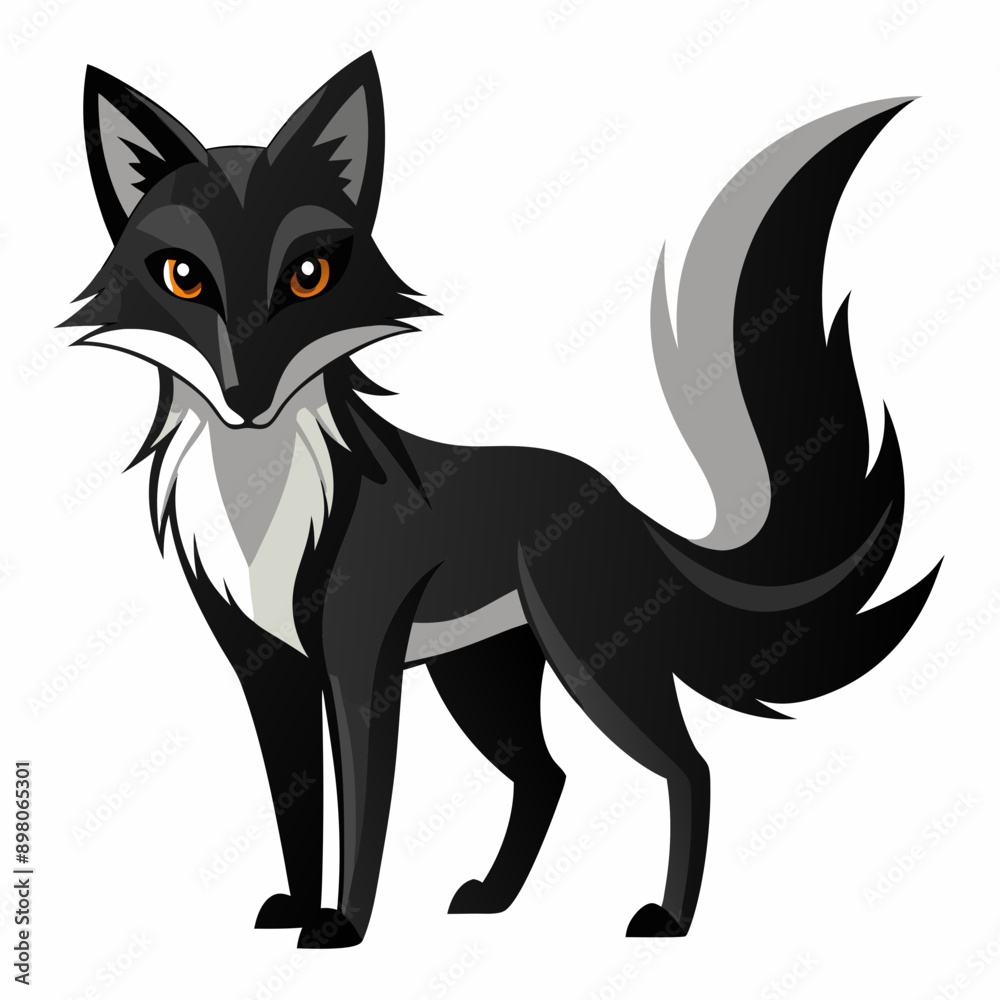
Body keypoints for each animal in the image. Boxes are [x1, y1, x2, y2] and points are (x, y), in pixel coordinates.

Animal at [67, 53, 940, 947]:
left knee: (689, 767)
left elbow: (363, 809)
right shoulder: (264, 666)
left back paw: (667, 918)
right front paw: (296, 911)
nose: (246, 398)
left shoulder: (358, 659)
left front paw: (342, 926)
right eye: (184, 278)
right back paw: (495, 897)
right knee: (548, 776)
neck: (260, 493)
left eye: (308, 277)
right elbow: (295, 806)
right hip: (481, 681)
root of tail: (614, 500)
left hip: (590, 663)